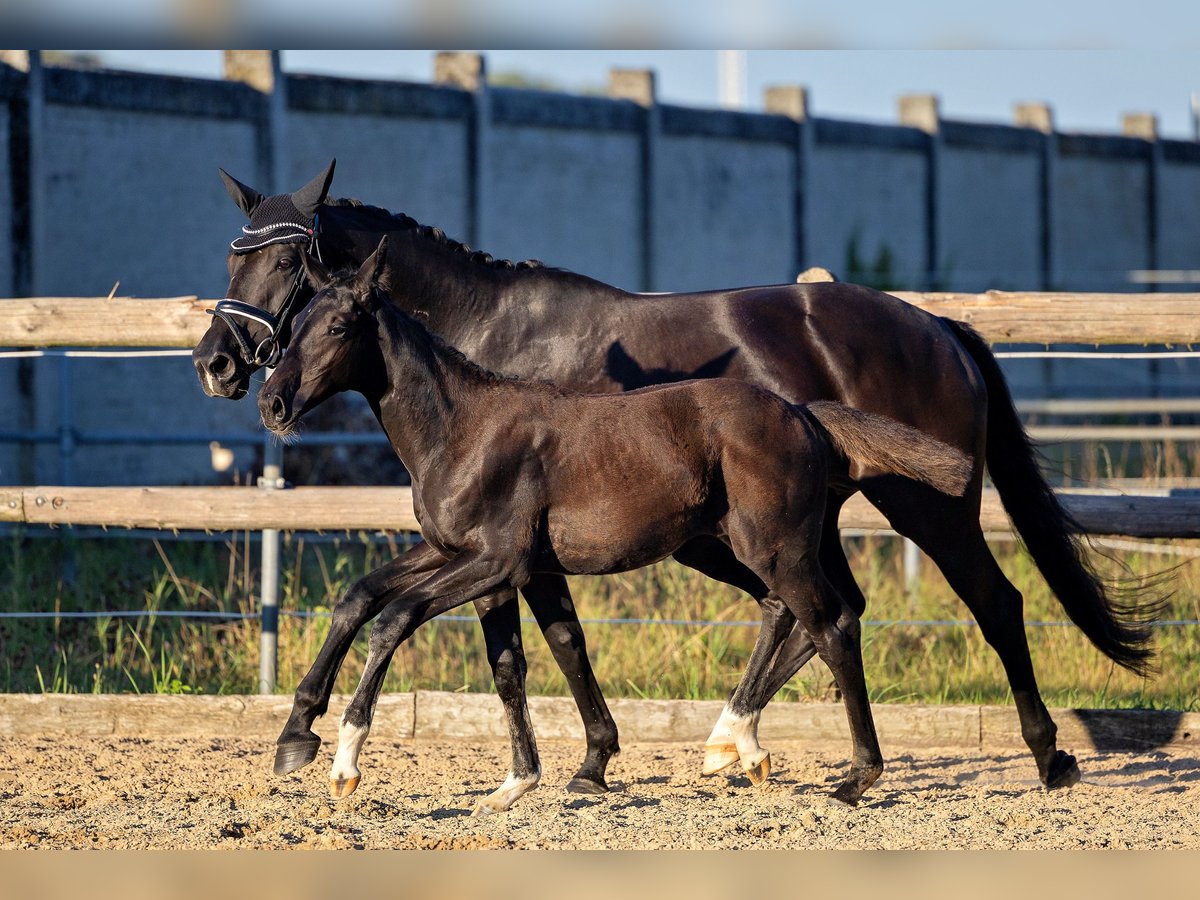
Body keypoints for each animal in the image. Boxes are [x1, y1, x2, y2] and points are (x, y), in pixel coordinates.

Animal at [258, 237, 969, 811]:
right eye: (297, 323)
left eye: (340, 326)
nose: (272, 402)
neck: (462, 429)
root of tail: (803, 414)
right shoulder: (460, 555)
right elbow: (390, 611)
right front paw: (299, 739)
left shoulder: (498, 561)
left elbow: (396, 618)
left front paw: (343, 763)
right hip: (730, 546)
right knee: (786, 610)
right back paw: (738, 745)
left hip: (774, 547)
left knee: (833, 626)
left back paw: (852, 779)